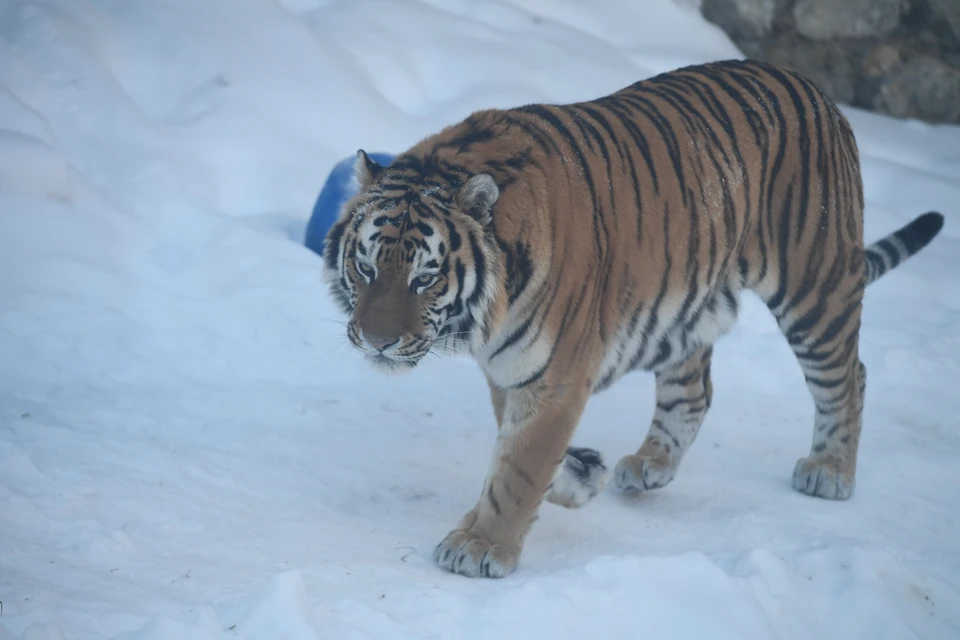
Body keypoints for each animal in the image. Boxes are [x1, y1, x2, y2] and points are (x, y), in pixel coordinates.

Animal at [322, 58, 944, 580]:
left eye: (424, 279)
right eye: (365, 266)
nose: (376, 341)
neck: (485, 318)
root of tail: (817, 90)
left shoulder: (553, 375)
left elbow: (519, 467)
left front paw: (480, 547)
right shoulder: (512, 369)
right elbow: (518, 447)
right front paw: (579, 478)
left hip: (815, 283)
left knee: (848, 375)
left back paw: (830, 470)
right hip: (688, 301)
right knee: (693, 391)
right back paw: (651, 464)